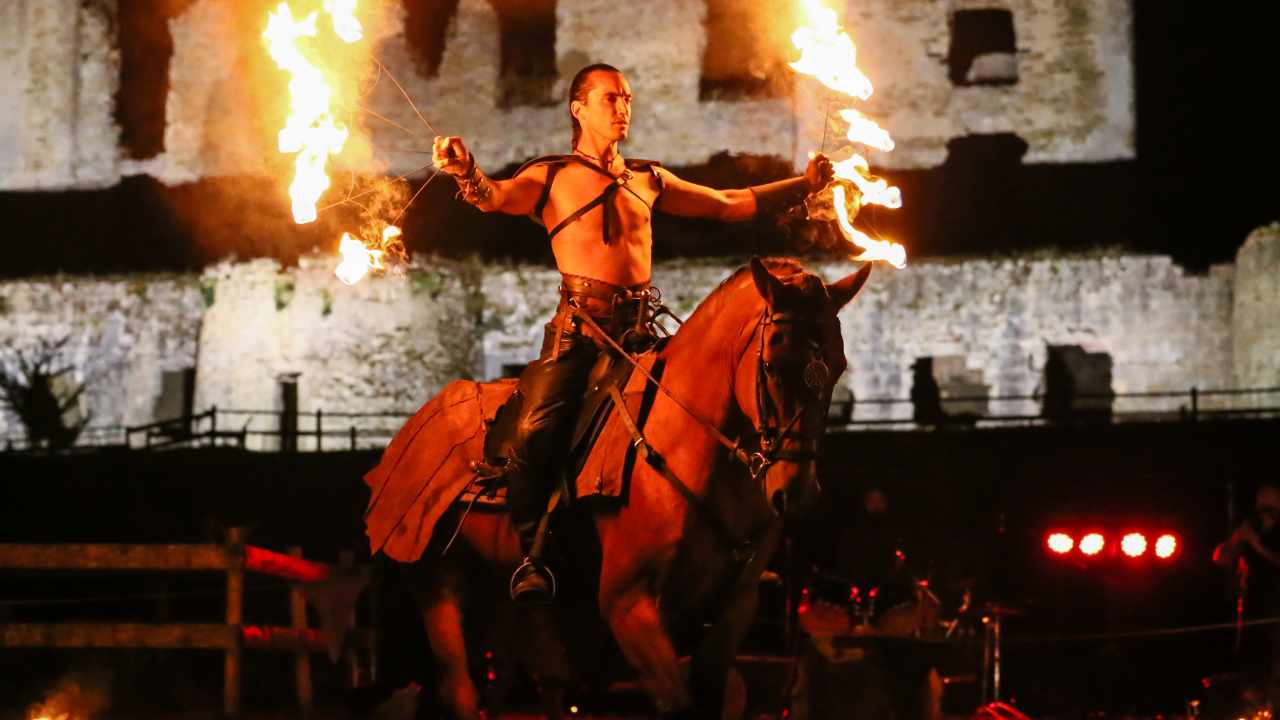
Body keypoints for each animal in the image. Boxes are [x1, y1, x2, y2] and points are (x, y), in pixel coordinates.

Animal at [366, 257, 875, 717]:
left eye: (837, 366)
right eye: (770, 364)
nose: (797, 492)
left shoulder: (732, 612)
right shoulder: (630, 608)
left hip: (492, 595)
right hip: (439, 588)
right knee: (463, 695)